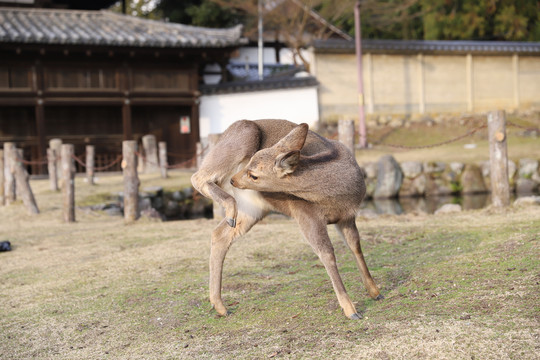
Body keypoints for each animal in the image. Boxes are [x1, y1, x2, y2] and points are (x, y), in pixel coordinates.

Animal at [192, 119, 382, 320]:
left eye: (254, 174)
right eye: (250, 161)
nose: (234, 180)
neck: (339, 197)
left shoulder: (348, 217)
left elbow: (356, 246)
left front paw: (375, 292)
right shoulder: (304, 212)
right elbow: (327, 254)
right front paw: (351, 310)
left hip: (253, 209)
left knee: (219, 234)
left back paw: (219, 305)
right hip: (244, 134)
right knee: (197, 177)